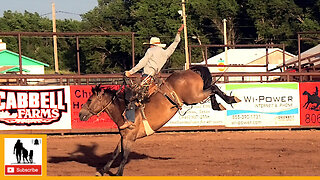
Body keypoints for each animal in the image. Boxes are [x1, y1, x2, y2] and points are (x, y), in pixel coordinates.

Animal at [79, 65, 240, 176]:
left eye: (90, 99)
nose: (81, 114)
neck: (122, 110)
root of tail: (190, 70)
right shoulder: (124, 136)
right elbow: (115, 153)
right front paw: (102, 170)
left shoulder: (130, 138)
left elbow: (124, 156)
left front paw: (118, 174)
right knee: (212, 88)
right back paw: (221, 104)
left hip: (193, 97)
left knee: (213, 88)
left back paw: (229, 99)